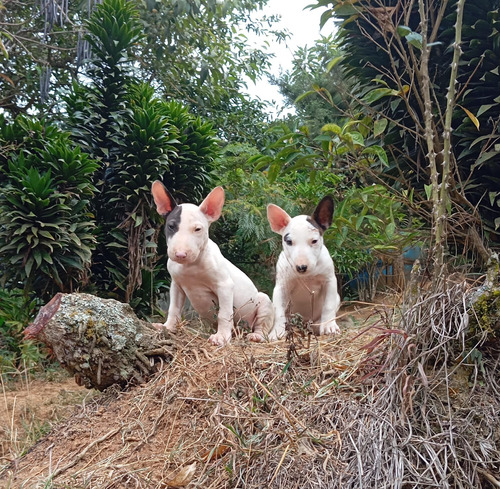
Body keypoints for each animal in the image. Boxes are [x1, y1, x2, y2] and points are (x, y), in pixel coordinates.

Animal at [151, 181, 274, 346]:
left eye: (198, 229)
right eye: (171, 226)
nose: (180, 255)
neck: (191, 266)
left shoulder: (225, 286)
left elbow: (224, 313)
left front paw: (221, 337)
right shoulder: (176, 286)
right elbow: (174, 308)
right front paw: (167, 327)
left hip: (263, 302)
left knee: (262, 327)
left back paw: (256, 336)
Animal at [268, 195, 342, 340]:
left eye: (314, 241)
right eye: (289, 241)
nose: (301, 267)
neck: (306, 275)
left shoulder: (330, 281)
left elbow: (328, 306)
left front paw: (329, 326)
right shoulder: (281, 287)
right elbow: (278, 311)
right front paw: (277, 331)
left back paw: (319, 325)